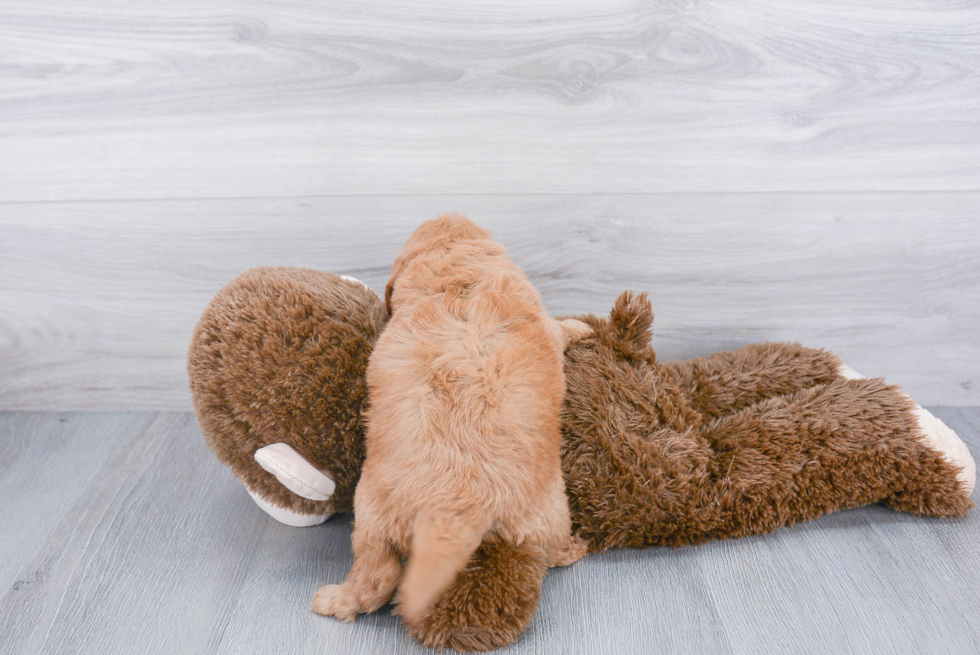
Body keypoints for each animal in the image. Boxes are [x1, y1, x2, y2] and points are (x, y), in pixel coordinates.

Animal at [314, 214, 588, 624]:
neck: (457, 279)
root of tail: (452, 511)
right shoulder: (544, 321)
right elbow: (561, 326)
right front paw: (584, 328)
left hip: (370, 512)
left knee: (376, 574)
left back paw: (334, 600)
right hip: (548, 512)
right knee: (554, 553)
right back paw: (578, 546)